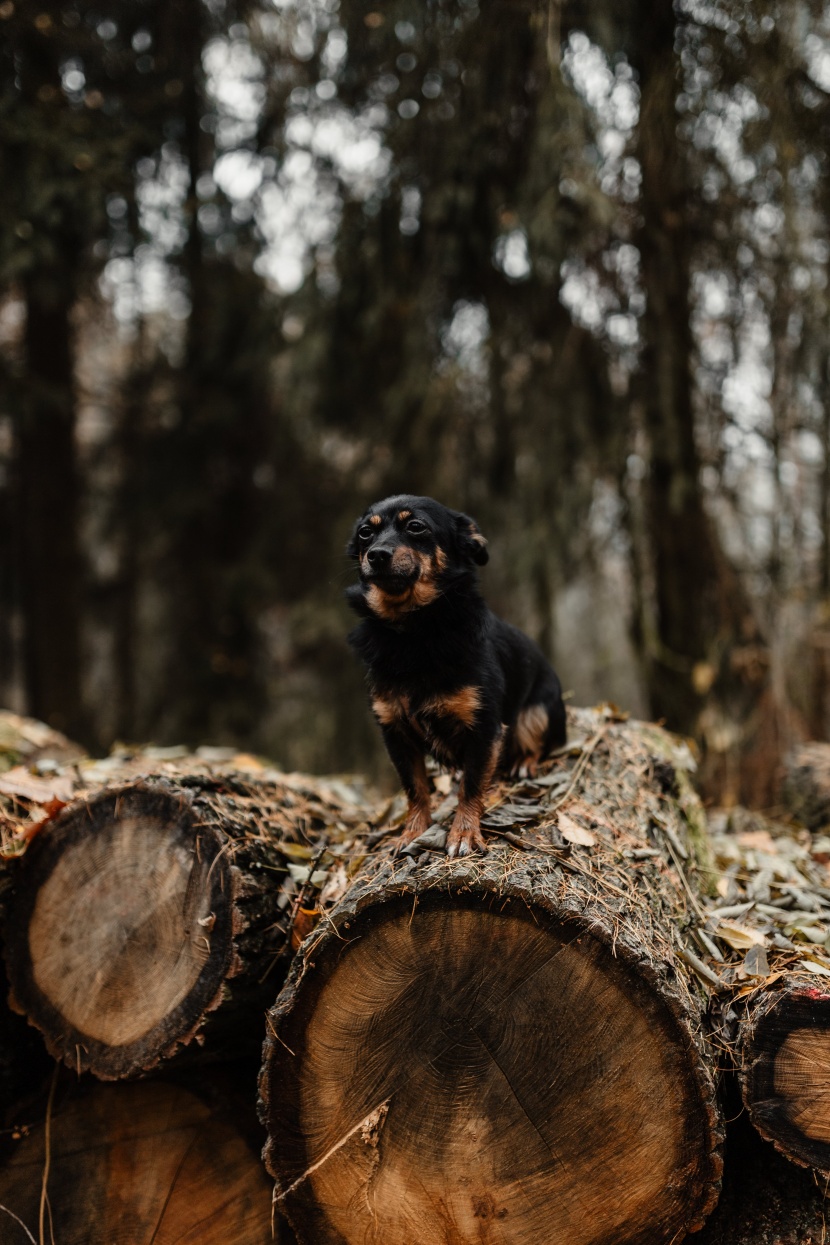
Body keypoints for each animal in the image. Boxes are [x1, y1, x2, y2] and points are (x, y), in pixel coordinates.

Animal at [343, 493, 564, 856]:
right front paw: (413, 831)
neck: (413, 631)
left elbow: (471, 786)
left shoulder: (484, 728)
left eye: (415, 527)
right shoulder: (395, 733)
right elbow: (415, 788)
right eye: (365, 533)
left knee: (534, 741)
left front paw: (463, 833)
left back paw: (523, 763)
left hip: (540, 711)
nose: (376, 554)